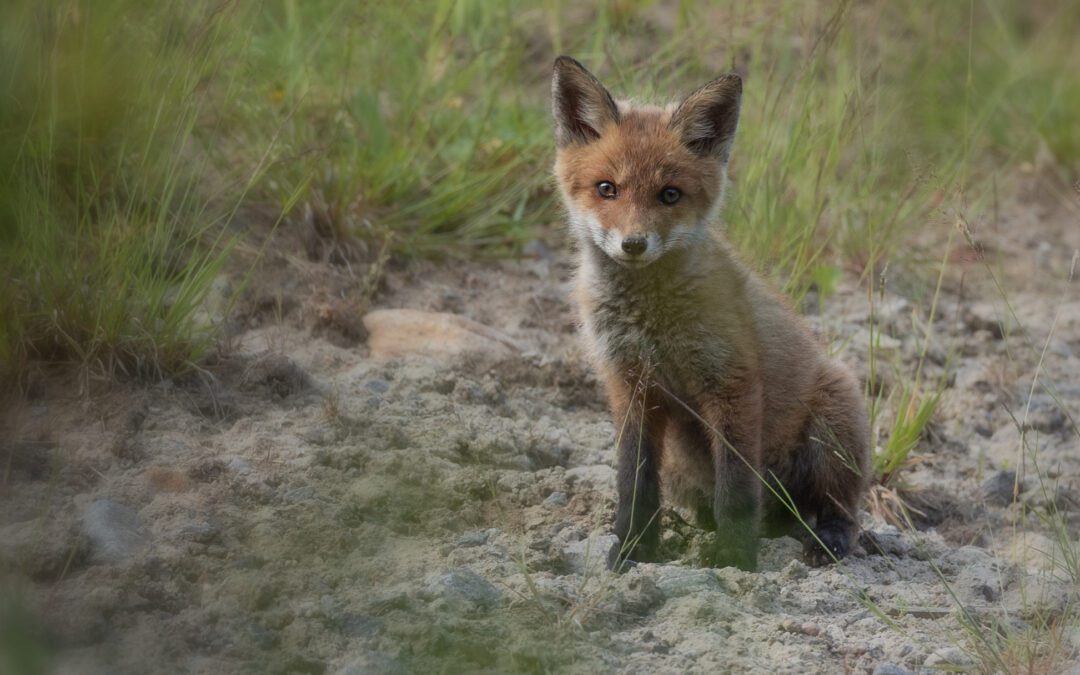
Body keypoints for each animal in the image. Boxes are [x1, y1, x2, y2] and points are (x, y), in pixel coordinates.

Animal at [552, 56, 872, 570]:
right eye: (607, 189)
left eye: (669, 194)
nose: (634, 244)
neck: (651, 321)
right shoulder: (629, 386)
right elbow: (633, 484)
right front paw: (632, 548)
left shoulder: (731, 382)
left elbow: (736, 489)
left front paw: (734, 558)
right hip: (683, 466)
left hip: (833, 425)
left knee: (839, 508)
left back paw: (827, 540)